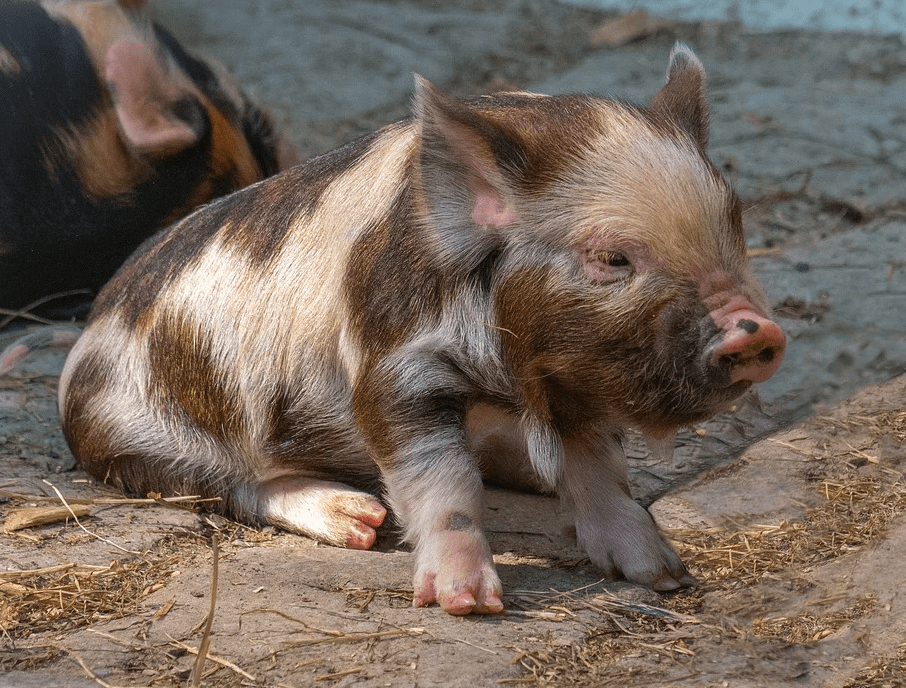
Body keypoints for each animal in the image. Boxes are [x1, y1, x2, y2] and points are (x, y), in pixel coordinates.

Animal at [60, 45, 784, 616]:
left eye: (734, 224)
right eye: (611, 258)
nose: (754, 330)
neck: (508, 373)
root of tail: (83, 347)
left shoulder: (576, 372)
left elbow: (601, 472)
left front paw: (666, 576)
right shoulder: (394, 365)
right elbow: (441, 481)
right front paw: (466, 603)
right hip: (138, 443)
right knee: (233, 487)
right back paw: (359, 522)